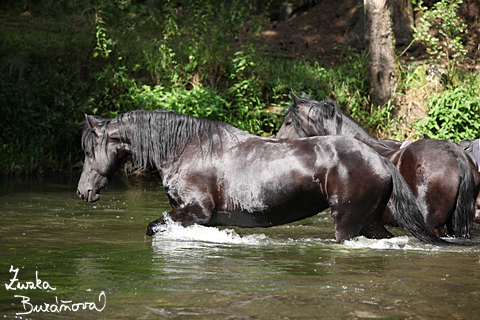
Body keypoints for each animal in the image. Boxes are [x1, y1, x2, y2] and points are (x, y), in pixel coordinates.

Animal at [76, 108, 454, 245]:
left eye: (88, 150)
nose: (83, 192)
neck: (186, 149)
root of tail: (378, 159)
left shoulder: (192, 212)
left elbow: (152, 228)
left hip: (348, 223)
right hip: (371, 222)